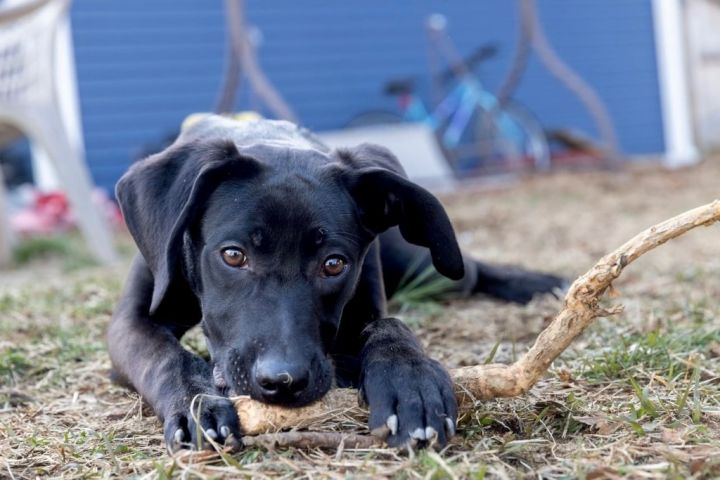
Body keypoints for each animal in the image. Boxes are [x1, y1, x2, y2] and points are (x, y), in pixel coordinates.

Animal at [109, 115, 564, 450]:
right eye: (233, 255)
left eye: (333, 264)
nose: (283, 382)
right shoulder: (131, 322)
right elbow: (167, 357)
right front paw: (197, 405)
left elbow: (389, 326)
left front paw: (411, 383)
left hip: (427, 267)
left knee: (472, 271)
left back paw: (539, 283)